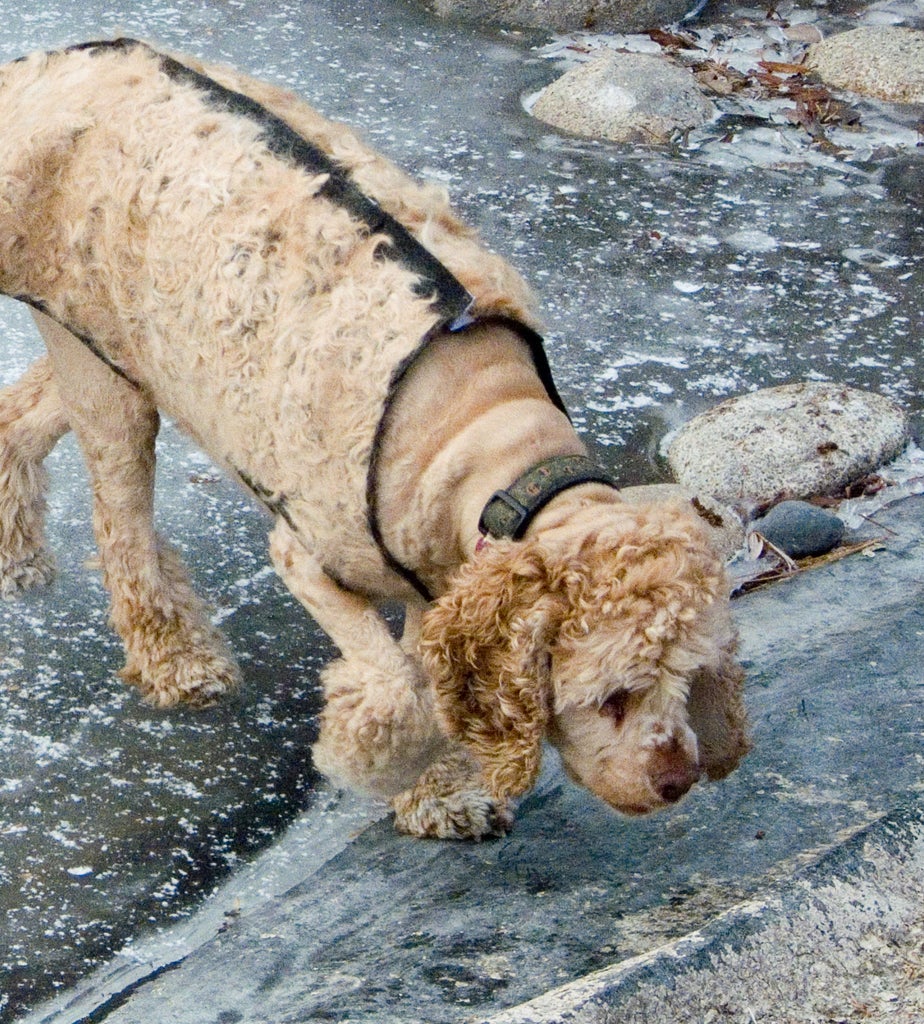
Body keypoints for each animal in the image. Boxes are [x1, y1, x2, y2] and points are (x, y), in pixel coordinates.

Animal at [0, 39, 753, 839]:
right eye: (612, 696)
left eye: (692, 681)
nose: (678, 781)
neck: (485, 434)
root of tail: (53, 63)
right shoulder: (310, 551)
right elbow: (399, 685)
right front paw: (371, 758)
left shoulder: (437, 574)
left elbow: (428, 679)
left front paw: (437, 794)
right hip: (106, 375)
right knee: (121, 525)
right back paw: (175, 660)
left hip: (129, 352)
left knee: (24, 413)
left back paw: (16, 549)